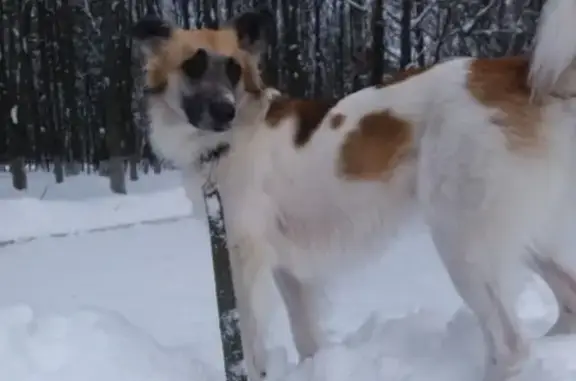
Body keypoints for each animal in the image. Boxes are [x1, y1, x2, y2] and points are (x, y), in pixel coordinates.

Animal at [133, 0, 576, 378]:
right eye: (193, 66)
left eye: (233, 71)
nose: (225, 110)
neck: (230, 139)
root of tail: (516, 71)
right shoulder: (289, 269)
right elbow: (307, 336)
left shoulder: (245, 258)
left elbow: (250, 346)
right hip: (513, 232)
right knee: (568, 300)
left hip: (463, 239)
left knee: (511, 344)